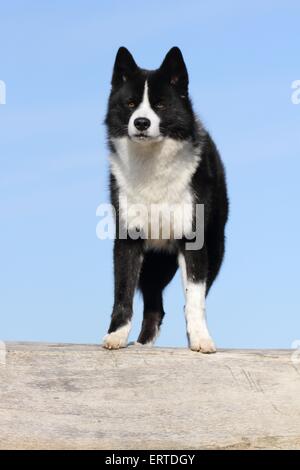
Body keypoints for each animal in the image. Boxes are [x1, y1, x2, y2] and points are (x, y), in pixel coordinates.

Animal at [102, 46, 227, 352]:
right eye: (131, 103)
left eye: (159, 105)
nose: (141, 122)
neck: (152, 165)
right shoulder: (127, 238)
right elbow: (122, 293)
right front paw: (116, 335)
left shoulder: (194, 238)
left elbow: (194, 298)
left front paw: (201, 339)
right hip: (154, 263)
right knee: (154, 304)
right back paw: (142, 345)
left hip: (216, 248)